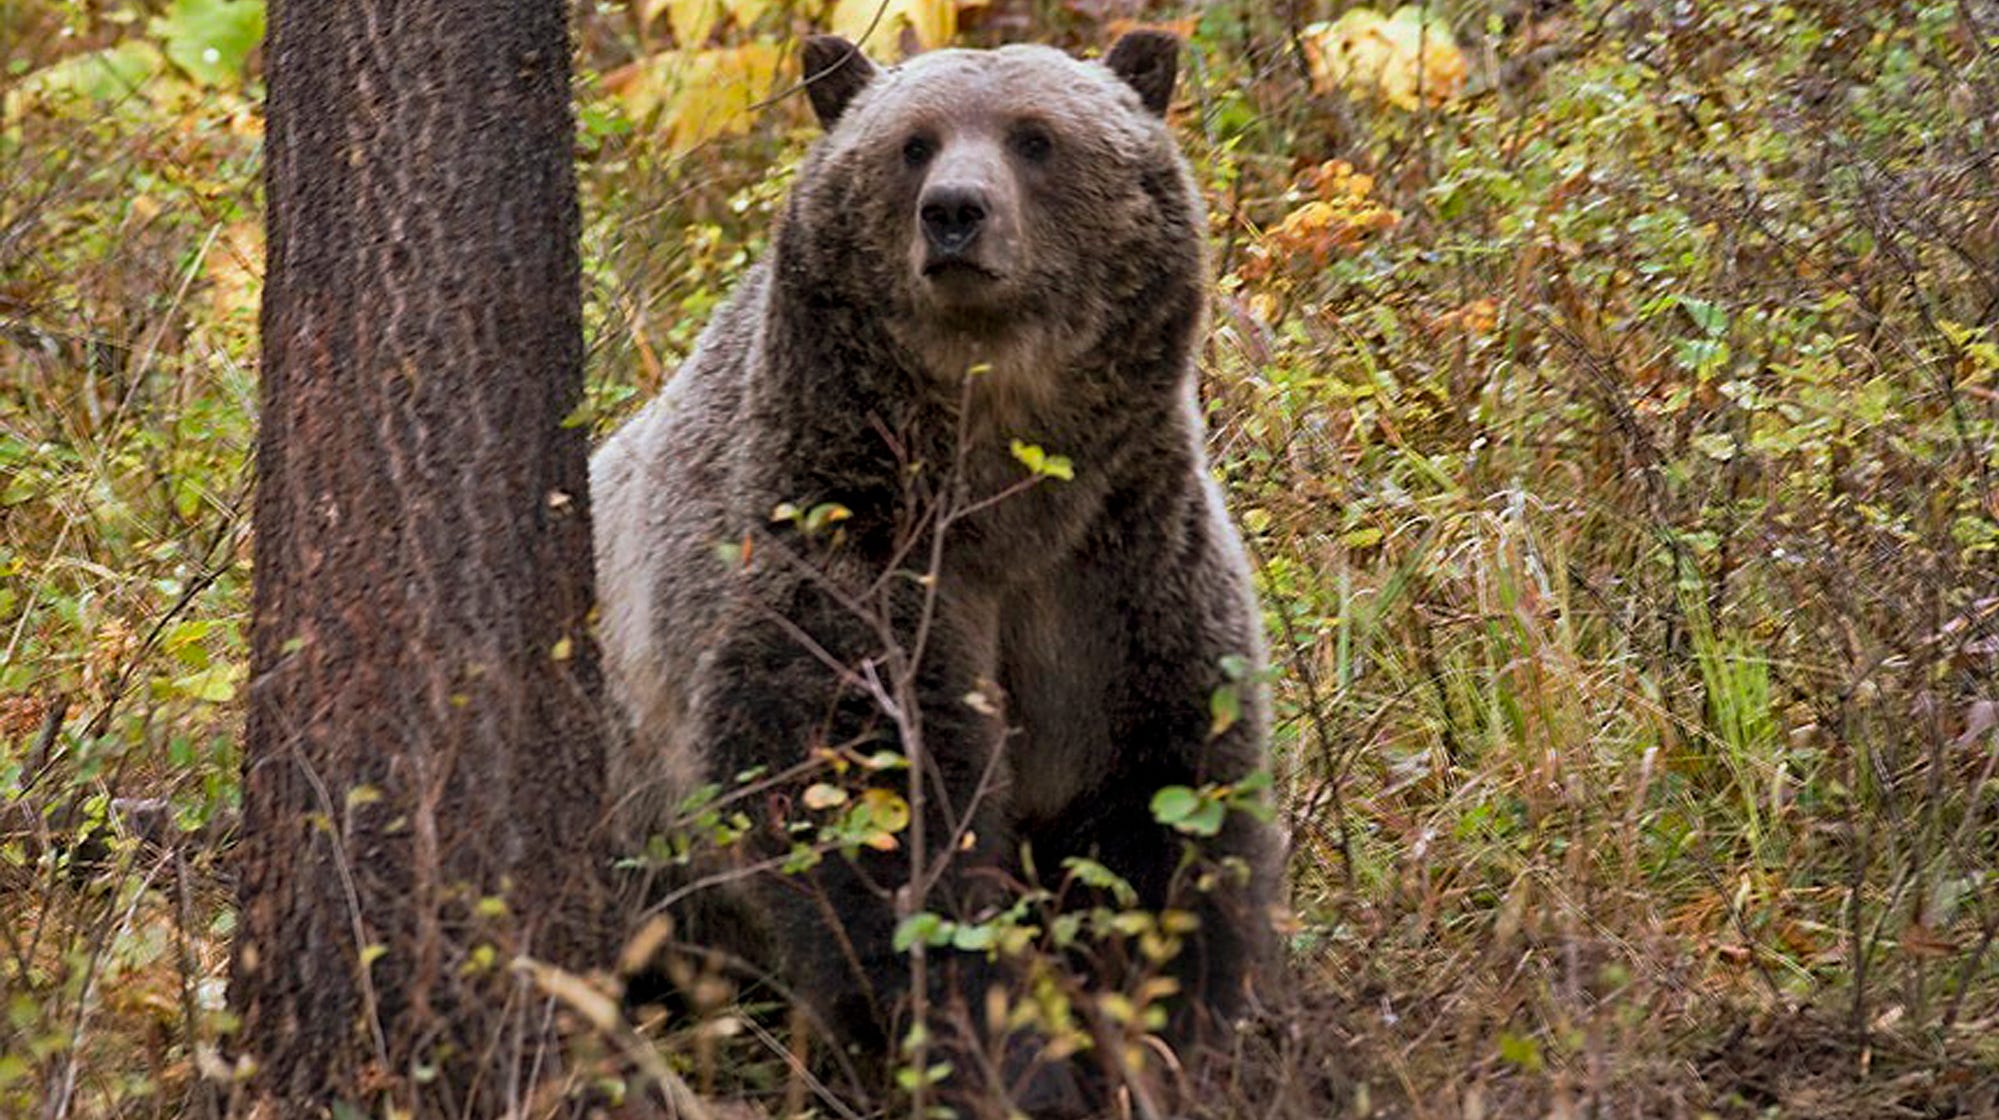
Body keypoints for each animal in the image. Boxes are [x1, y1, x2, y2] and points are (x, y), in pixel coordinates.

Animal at [590, 30, 1278, 1115]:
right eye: (912, 143)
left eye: (1035, 137)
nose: (954, 211)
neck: (1002, 489)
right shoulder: (849, 553)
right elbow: (876, 823)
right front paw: (1005, 1057)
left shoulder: (1119, 573)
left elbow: (1163, 810)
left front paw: (1163, 1036)